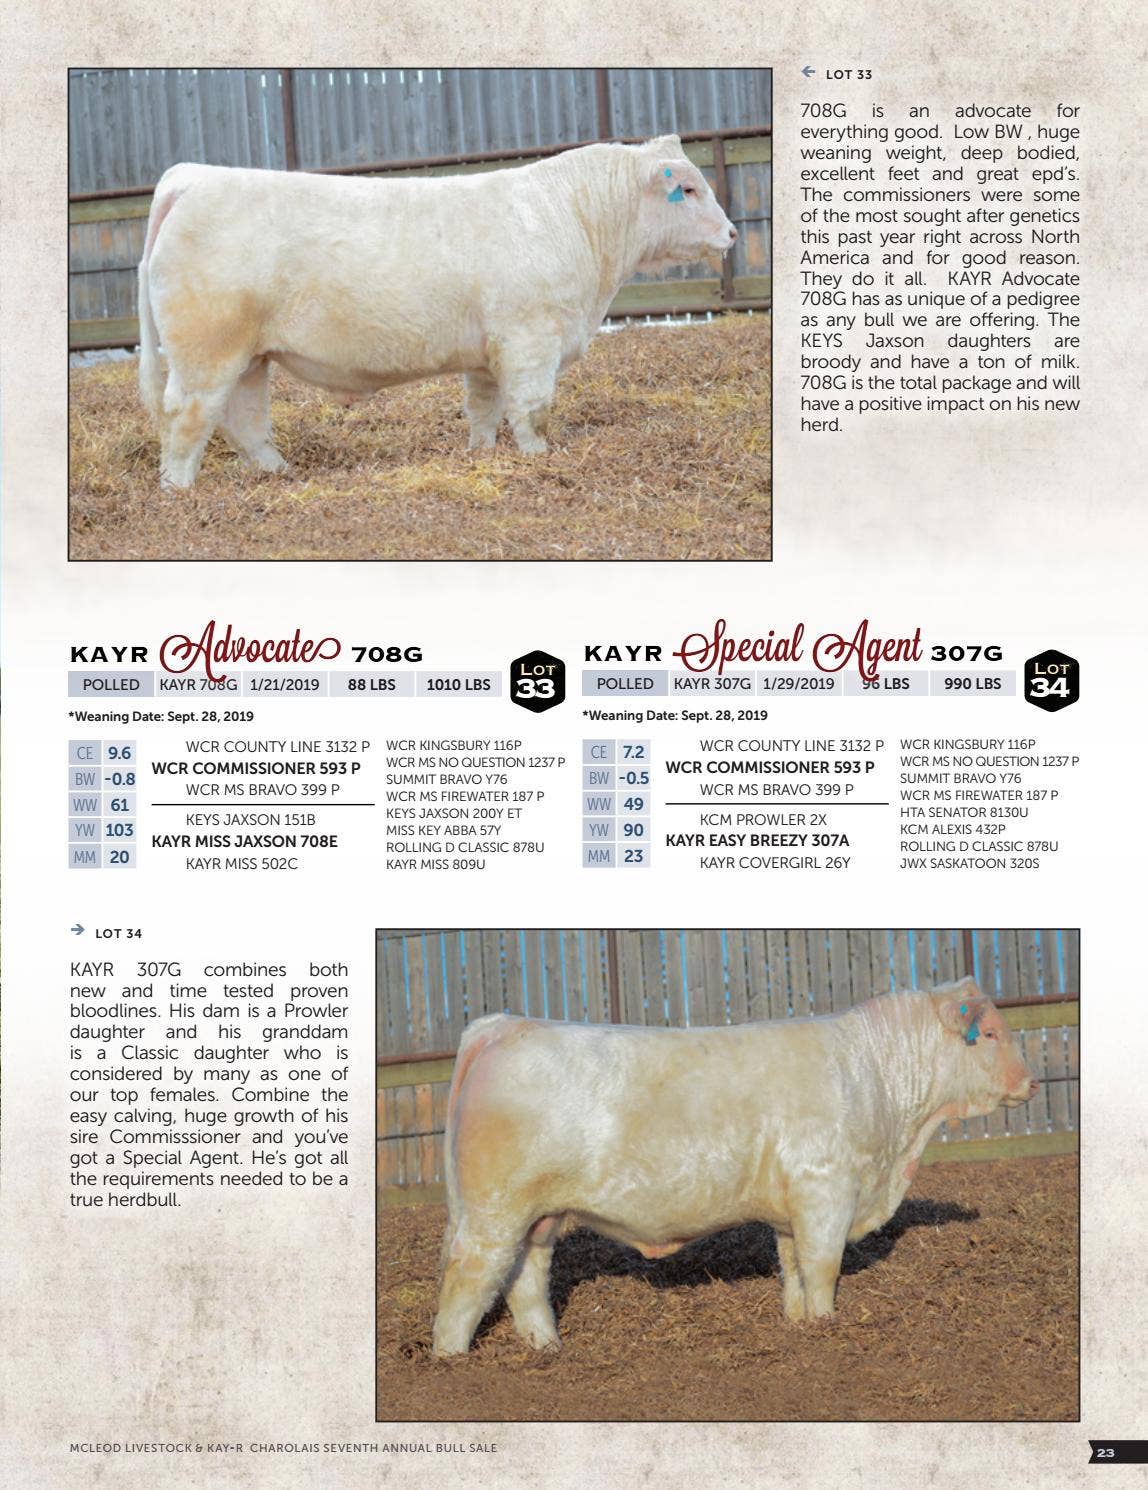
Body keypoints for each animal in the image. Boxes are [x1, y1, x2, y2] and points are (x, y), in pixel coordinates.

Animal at [136, 137, 737, 490]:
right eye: (687, 188)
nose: (732, 233)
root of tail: (193, 176)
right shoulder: (531, 338)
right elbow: (532, 410)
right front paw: (539, 459)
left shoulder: (490, 353)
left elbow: (484, 411)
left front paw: (482, 457)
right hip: (207, 348)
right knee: (186, 415)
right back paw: (179, 492)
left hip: (249, 355)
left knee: (243, 419)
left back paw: (281, 474)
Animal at [430, 979, 1039, 1356]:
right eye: (989, 1034)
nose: (1031, 1083)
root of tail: (503, 1025)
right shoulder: (825, 1191)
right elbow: (823, 1268)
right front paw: (826, 1325)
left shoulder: (793, 1210)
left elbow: (793, 1269)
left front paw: (799, 1323)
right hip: (494, 1212)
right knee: (468, 1281)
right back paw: (451, 1360)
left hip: (539, 1217)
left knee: (524, 1279)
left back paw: (547, 1348)